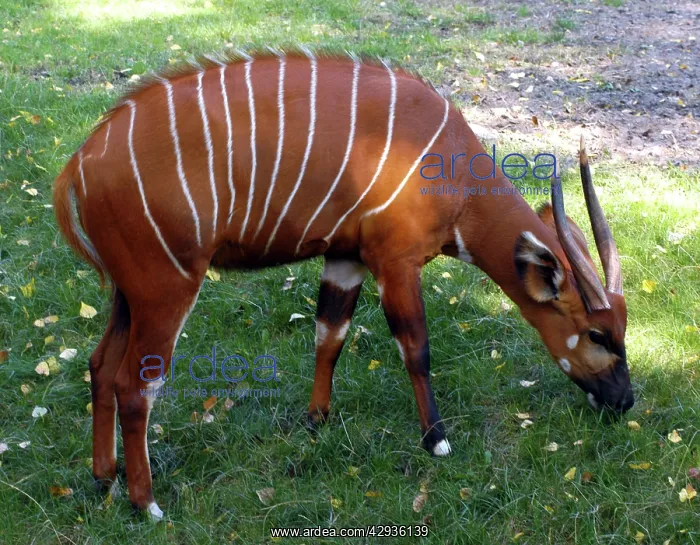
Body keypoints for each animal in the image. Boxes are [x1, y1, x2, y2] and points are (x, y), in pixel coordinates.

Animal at [53, 50, 633, 518]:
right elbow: (415, 349)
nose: (624, 401)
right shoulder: (395, 261)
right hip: (167, 287)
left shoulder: (345, 258)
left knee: (100, 365)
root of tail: (80, 163)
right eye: (599, 334)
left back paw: (103, 478)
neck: (456, 177)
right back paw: (147, 504)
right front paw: (437, 441)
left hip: (129, 294)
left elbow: (329, 336)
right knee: (135, 385)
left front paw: (317, 420)